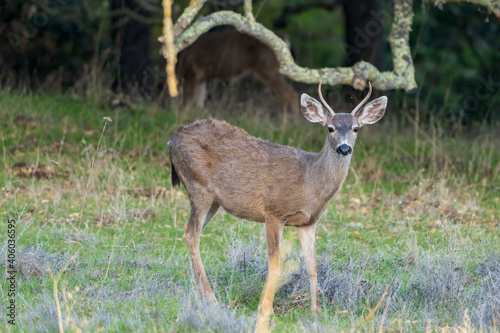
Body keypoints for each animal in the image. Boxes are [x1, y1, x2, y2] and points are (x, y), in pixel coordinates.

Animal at [168, 81, 386, 330]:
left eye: (356, 128)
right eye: (330, 128)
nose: (344, 149)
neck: (310, 180)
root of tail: (172, 140)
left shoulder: (308, 222)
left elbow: (312, 264)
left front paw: (316, 311)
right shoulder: (273, 211)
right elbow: (275, 262)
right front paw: (267, 310)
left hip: (213, 201)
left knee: (191, 234)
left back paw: (201, 296)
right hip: (198, 186)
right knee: (191, 234)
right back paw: (211, 300)